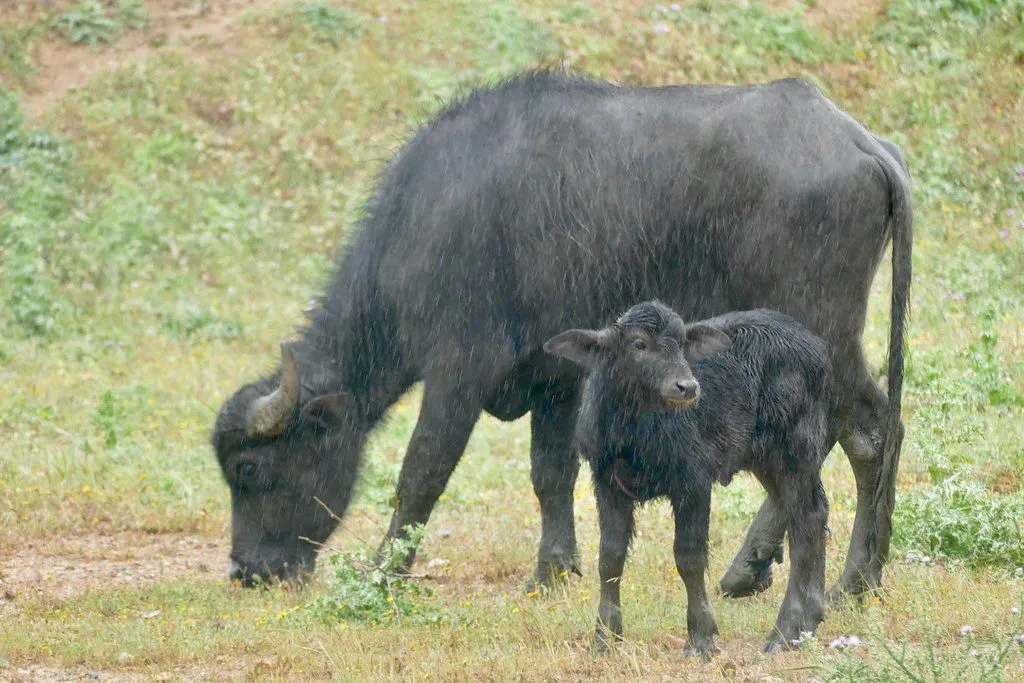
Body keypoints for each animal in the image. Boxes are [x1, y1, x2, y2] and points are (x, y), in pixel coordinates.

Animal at [211, 71, 911, 601]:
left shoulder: (459, 369)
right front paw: (553, 569)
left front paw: (386, 570)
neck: (431, 221)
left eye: (249, 468)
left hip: (823, 329)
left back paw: (852, 579)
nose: (247, 572)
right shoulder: (559, 377)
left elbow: (423, 470)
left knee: (869, 431)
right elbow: (550, 472)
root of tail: (855, 139)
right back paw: (757, 569)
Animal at [545, 302, 833, 654]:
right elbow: (610, 558)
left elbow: (689, 558)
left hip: (796, 448)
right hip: (768, 459)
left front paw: (701, 638)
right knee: (814, 513)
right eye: (639, 344)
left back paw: (785, 631)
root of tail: (816, 348)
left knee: (805, 524)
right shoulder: (608, 485)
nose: (688, 387)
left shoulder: (693, 483)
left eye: (682, 343)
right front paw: (605, 637)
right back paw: (810, 619)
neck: (635, 434)